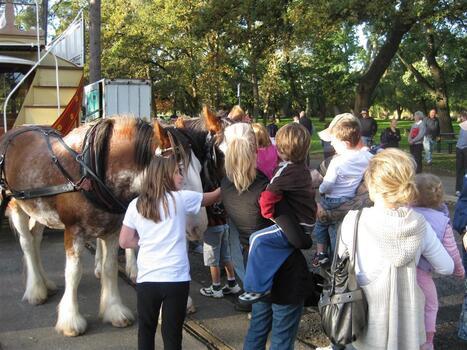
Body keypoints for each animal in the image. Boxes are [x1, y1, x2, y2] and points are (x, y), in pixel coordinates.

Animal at [0, 112, 224, 336]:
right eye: (179, 172)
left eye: (200, 167)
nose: (199, 226)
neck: (92, 173)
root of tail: (15, 131)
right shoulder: (73, 231)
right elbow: (74, 272)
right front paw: (70, 320)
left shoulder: (112, 230)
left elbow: (110, 267)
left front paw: (114, 310)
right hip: (16, 205)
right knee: (27, 244)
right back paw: (36, 290)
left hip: (40, 213)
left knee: (36, 238)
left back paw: (45, 283)